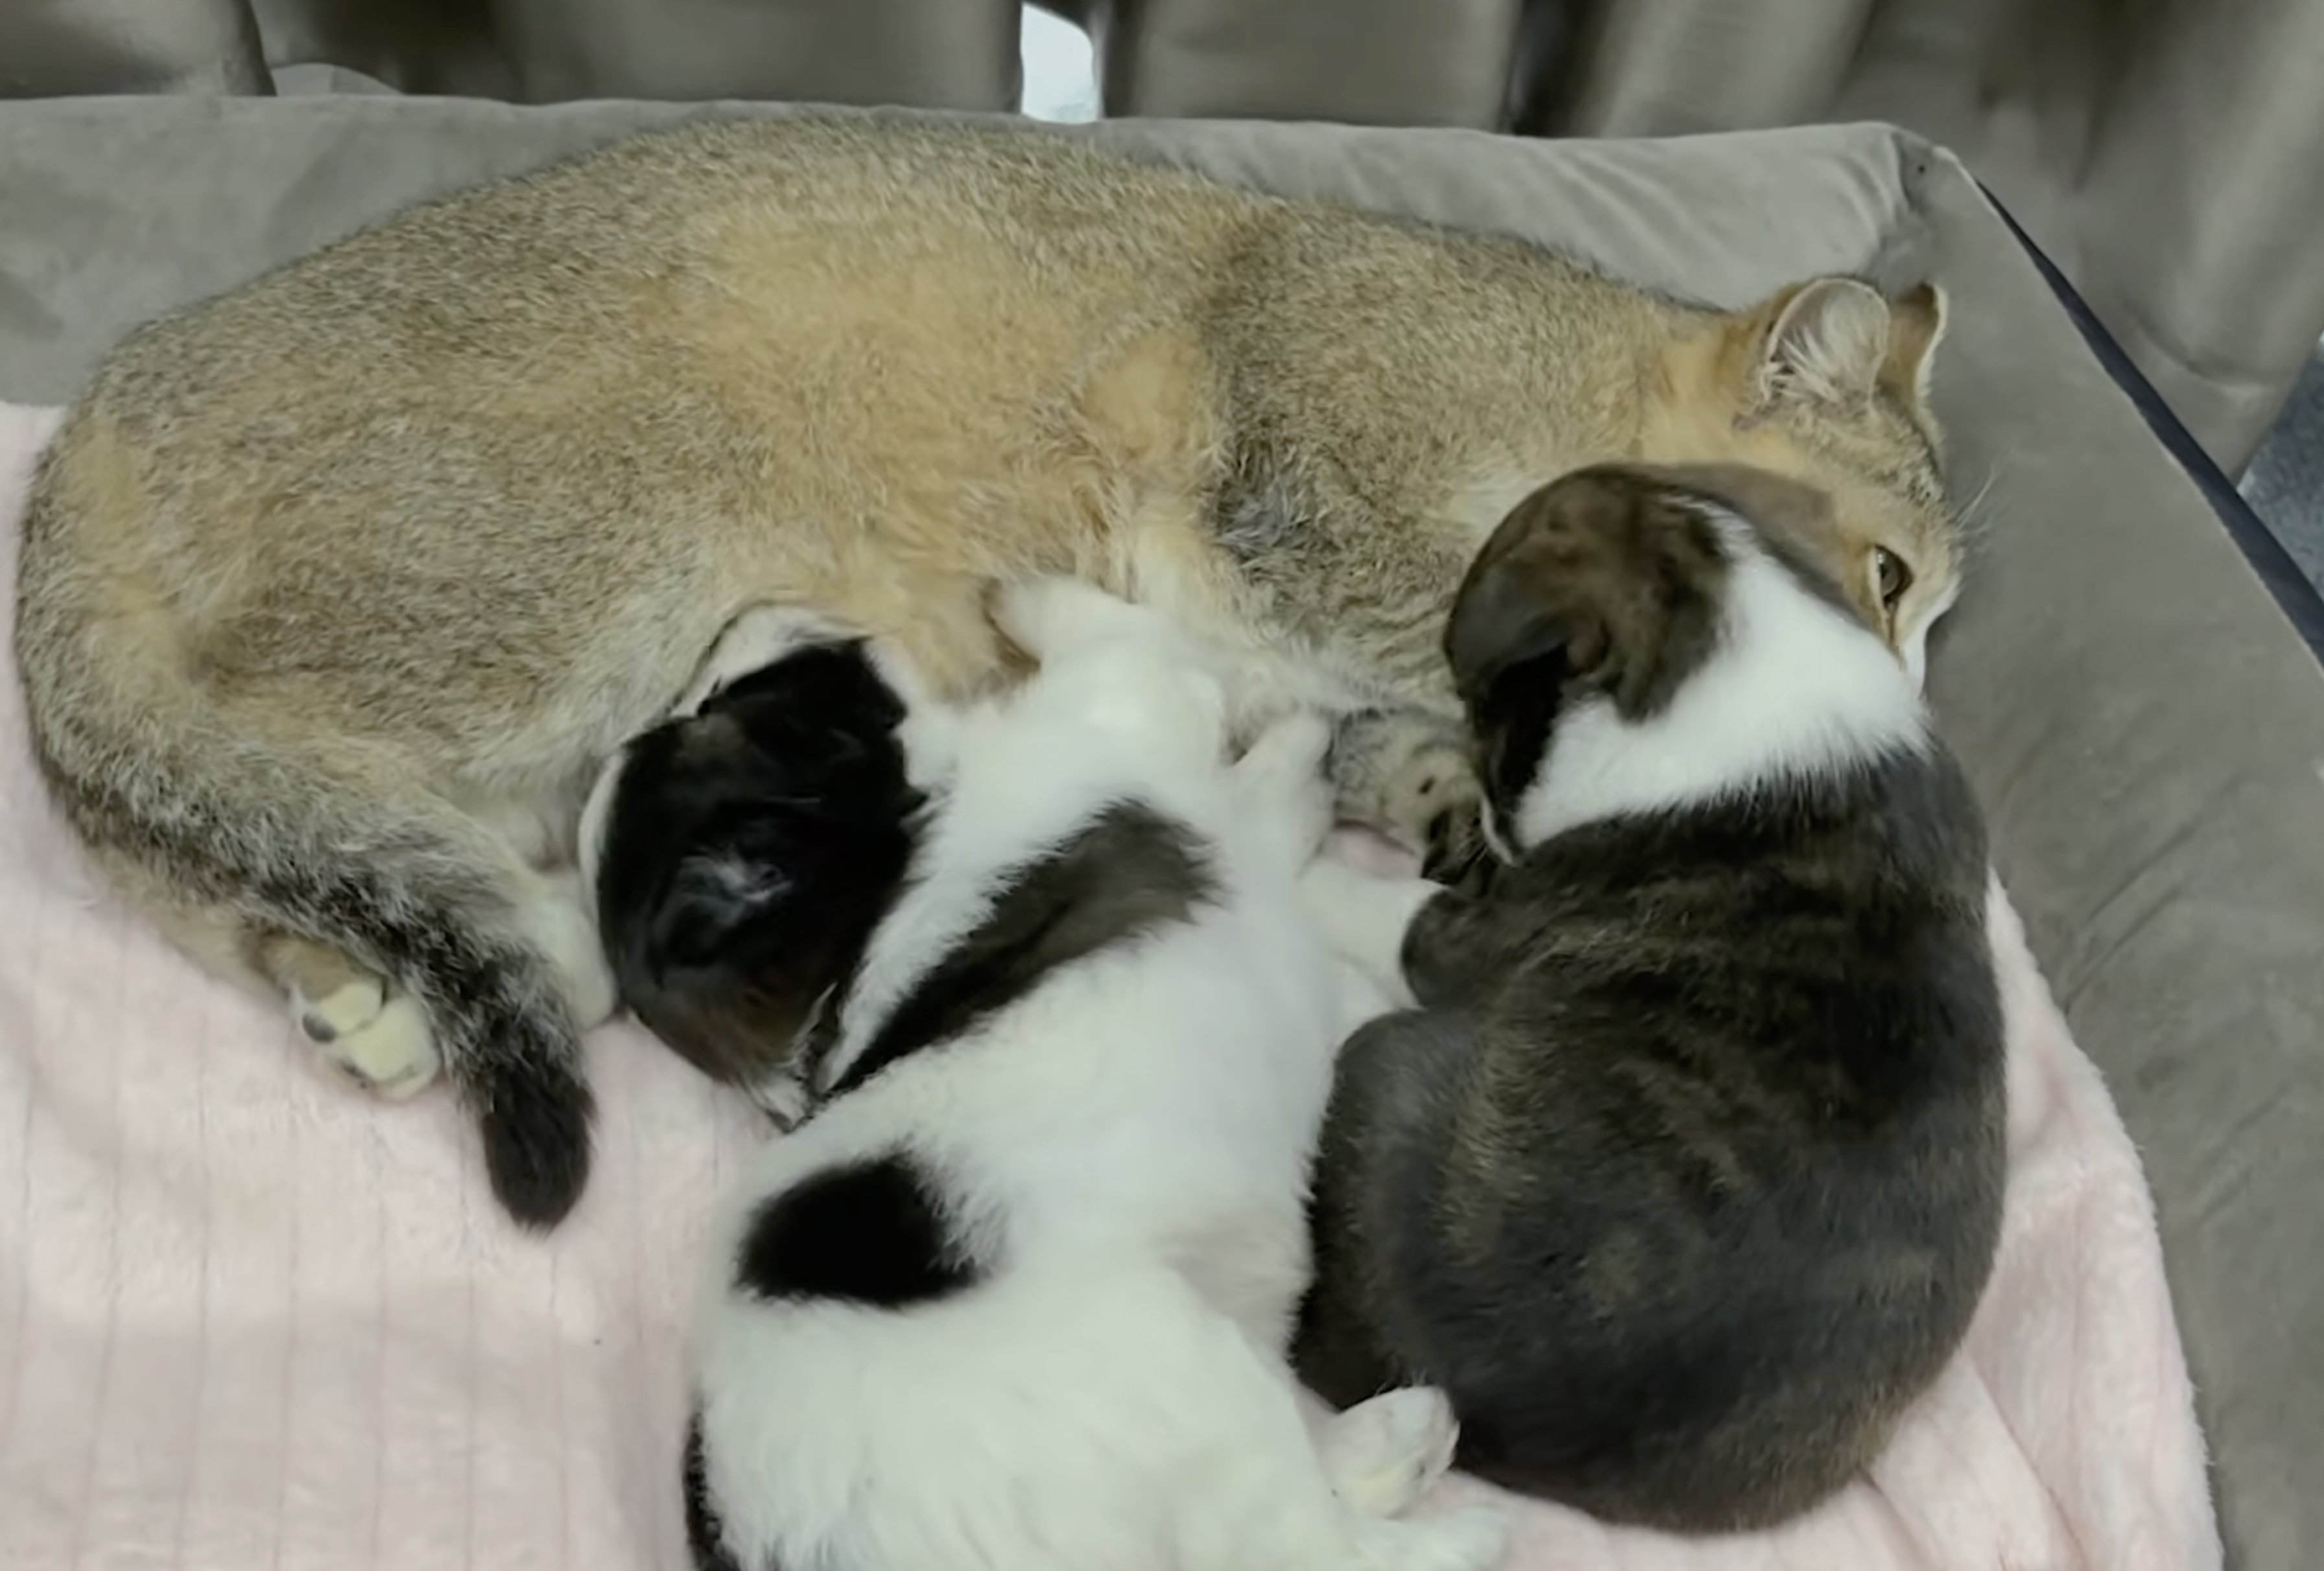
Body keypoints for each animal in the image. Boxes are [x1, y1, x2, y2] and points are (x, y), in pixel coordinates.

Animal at [12, 110, 1961, 1227]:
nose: (1916, 693)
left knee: (207, 848)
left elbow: (1376, 732)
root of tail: (86, 426)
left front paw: (1436, 795)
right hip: (569, 580)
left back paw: (351, 989)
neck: (1547, 373)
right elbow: (1434, 633)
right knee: (278, 781)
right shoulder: (1314, 499)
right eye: (1886, 578)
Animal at [675, 574, 1510, 1571]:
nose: (734, 618)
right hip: (1177, 1373)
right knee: (1302, 1540)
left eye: (718, 702)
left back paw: (1397, 1439)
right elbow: (1150, 660)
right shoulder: (1133, 705)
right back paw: (1454, 1519)